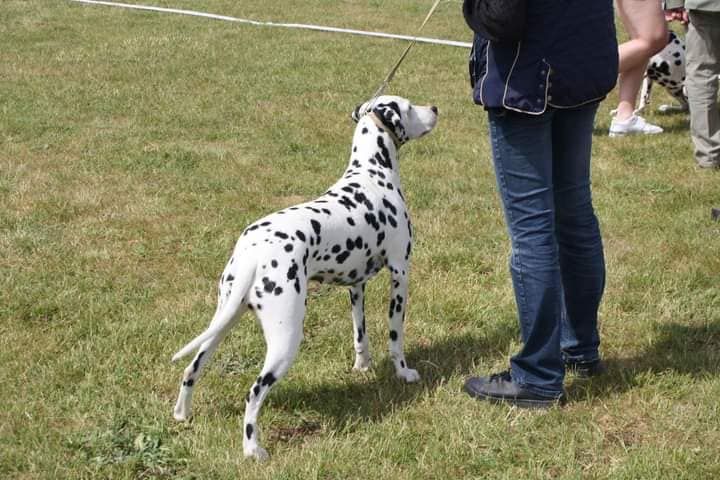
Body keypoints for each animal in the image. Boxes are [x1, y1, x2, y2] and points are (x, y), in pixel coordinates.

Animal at [170, 94, 438, 462]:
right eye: (409, 107)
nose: (435, 109)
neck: (372, 175)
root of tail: (253, 251)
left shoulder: (357, 285)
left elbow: (361, 335)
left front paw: (362, 366)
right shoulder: (400, 273)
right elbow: (395, 337)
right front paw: (404, 372)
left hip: (222, 321)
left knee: (192, 368)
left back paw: (182, 414)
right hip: (285, 339)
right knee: (253, 393)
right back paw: (253, 449)